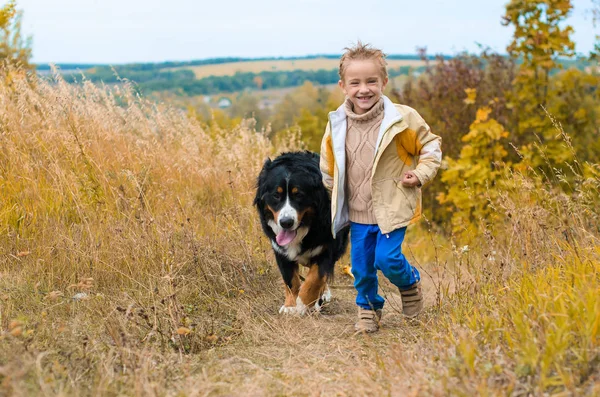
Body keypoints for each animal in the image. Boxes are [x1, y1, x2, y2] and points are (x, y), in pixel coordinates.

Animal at [254, 151, 352, 312]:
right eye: (276, 195)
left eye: (299, 195)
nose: (286, 222)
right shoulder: (280, 250)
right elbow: (290, 279)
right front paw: (290, 306)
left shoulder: (327, 246)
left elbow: (315, 278)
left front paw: (304, 304)